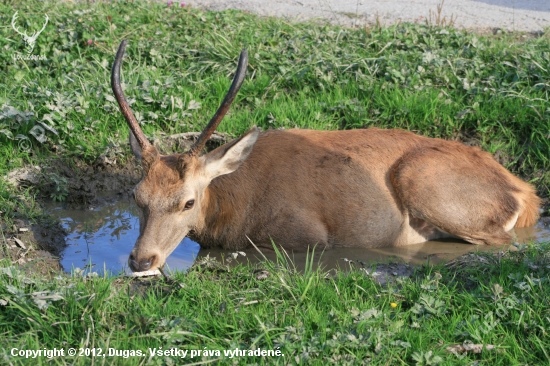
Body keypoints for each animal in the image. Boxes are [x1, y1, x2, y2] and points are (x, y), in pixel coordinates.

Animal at [110, 41, 540, 274]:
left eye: (188, 201)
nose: (141, 260)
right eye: (137, 197)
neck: (234, 210)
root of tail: (526, 192)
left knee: (505, 243)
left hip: (425, 182)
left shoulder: (306, 235)